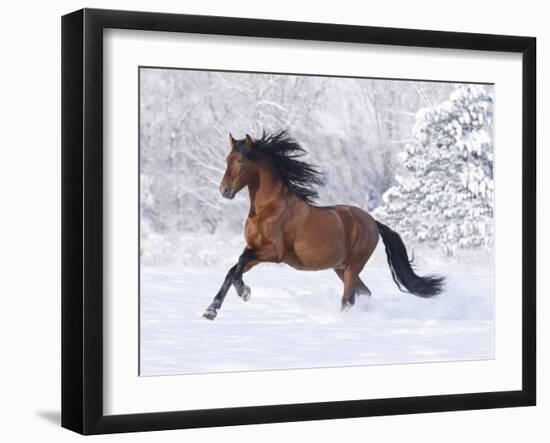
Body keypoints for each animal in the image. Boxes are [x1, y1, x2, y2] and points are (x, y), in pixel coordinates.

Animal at [205, 130, 446, 320]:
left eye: (240, 161)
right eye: (227, 159)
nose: (224, 191)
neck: (268, 209)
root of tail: (373, 222)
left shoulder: (274, 252)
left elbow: (239, 262)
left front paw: (244, 292)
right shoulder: (254, 249)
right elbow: (233, 270)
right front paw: (211, 310)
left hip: (353, 266)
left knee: (348, 299)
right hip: (341, 268)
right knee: (364, 293)